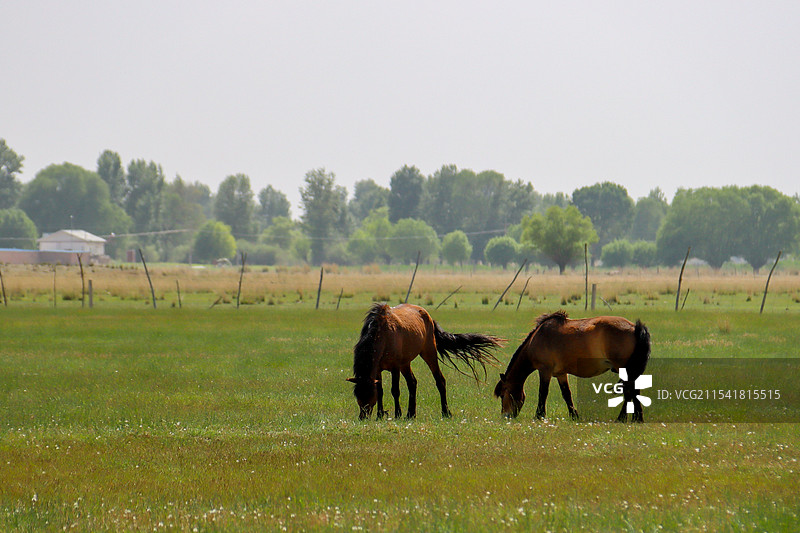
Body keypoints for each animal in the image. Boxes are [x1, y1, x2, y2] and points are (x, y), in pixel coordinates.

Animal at [347, 303, 504, 420]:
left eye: (368, 395)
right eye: (357, 395)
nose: (363, 416)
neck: (383, 334)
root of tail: (427, 315)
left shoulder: (395, 367)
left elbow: (395, 390)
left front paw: (397, 414)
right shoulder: (378, 369)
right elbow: (380, 391)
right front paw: (380, 415)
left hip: (429, 352)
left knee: (440, 380)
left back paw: (445, 412)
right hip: (406, 363)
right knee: (412, 383)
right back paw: (411, 414)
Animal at [494, 311, 651, 422]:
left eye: (502, 394)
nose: (505, 416)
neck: (537, 339)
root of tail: (635, 328)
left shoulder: (545, 371)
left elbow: (543, 393)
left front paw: (539, 416)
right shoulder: (561, 374)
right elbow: (566, 394)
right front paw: (574, 416)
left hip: (624, 369)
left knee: (629, 391)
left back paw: (622, 418)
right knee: (634, 391)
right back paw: (637, 419)